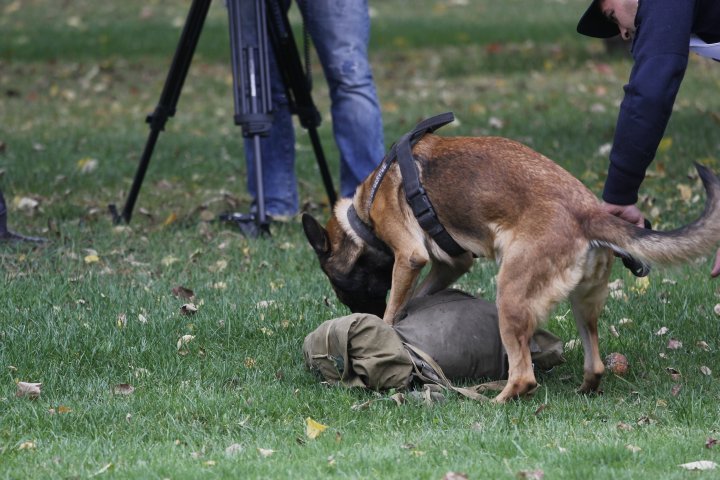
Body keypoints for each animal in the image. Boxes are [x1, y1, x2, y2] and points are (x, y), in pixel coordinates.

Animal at [302, 132, 720, 402]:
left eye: (337, 283)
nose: (359, 316)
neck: (364, 212)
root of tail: (587, 213)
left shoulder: (410, 257)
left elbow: (396, 306)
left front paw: (390, 330)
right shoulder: (452, 263)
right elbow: (420, 295)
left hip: (511, 297)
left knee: (524, 377)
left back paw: (492, 401)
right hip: (583, 307)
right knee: (596, 365)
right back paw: (581, 390)